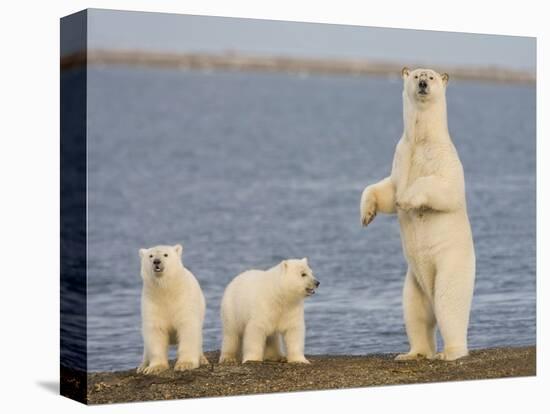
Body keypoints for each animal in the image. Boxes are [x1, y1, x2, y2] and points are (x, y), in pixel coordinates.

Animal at [136, 244, 209, 374]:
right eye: (151, 256)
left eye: (166, 254)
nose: (156, 261)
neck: (166, 290)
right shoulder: (152, 303)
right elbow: (155, 331)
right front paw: (155, 367)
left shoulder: (184, 301)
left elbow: (187, 328)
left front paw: (185, 364)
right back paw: (142, 366)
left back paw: (202, 359)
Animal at [362, 67, 478, 360]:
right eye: (416, 76)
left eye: (432, 77)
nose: (424, 83)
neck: (422, 140)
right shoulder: (400, 155)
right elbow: (386, 190)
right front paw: (367, 214)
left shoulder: (446, 160)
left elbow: (444, 190)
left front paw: (407, 200)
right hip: (413, 282)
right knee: (415, 313)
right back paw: (412, 353)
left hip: (451, 266)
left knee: (449, 304)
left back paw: (450, 352)